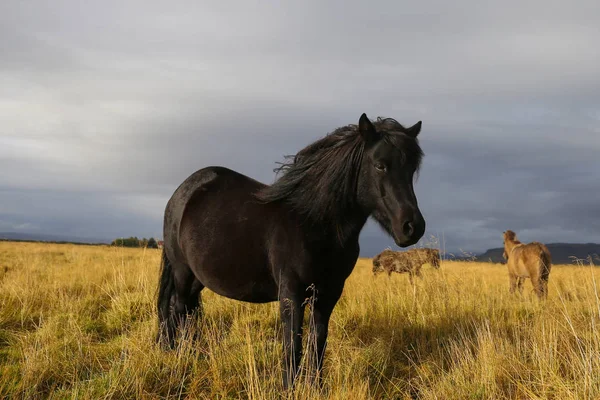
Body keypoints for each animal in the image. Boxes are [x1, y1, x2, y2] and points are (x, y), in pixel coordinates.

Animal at [157, 114, 424, 390]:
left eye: (412, 169)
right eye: (380, 165)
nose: (412, 227)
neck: (314, 223)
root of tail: (183, 192)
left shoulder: (328, 294)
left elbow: (318, 342)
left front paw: (315, 387)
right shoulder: (291, 294)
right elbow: (292, 345)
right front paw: (289, 387)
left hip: (198, 278)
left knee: (187, 310)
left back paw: (188, 351)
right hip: (182, 272)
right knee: (178, 308)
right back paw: (179, 354)